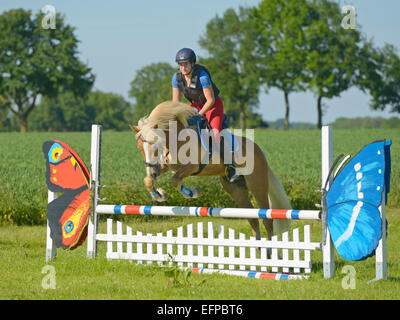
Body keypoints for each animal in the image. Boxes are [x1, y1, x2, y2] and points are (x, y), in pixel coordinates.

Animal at [130, 100, 290, 240]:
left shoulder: (193, 166)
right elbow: (148, 180)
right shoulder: (165, 165)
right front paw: (159, 195)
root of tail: (259, 151)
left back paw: (271, 252)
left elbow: (175, 180)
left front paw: (192, 192)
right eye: (139, 147)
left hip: (257, 185)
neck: (176, 139)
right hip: (236, 189)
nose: (153, 172)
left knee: (266, 219)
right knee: (252, 218)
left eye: (156, 146)